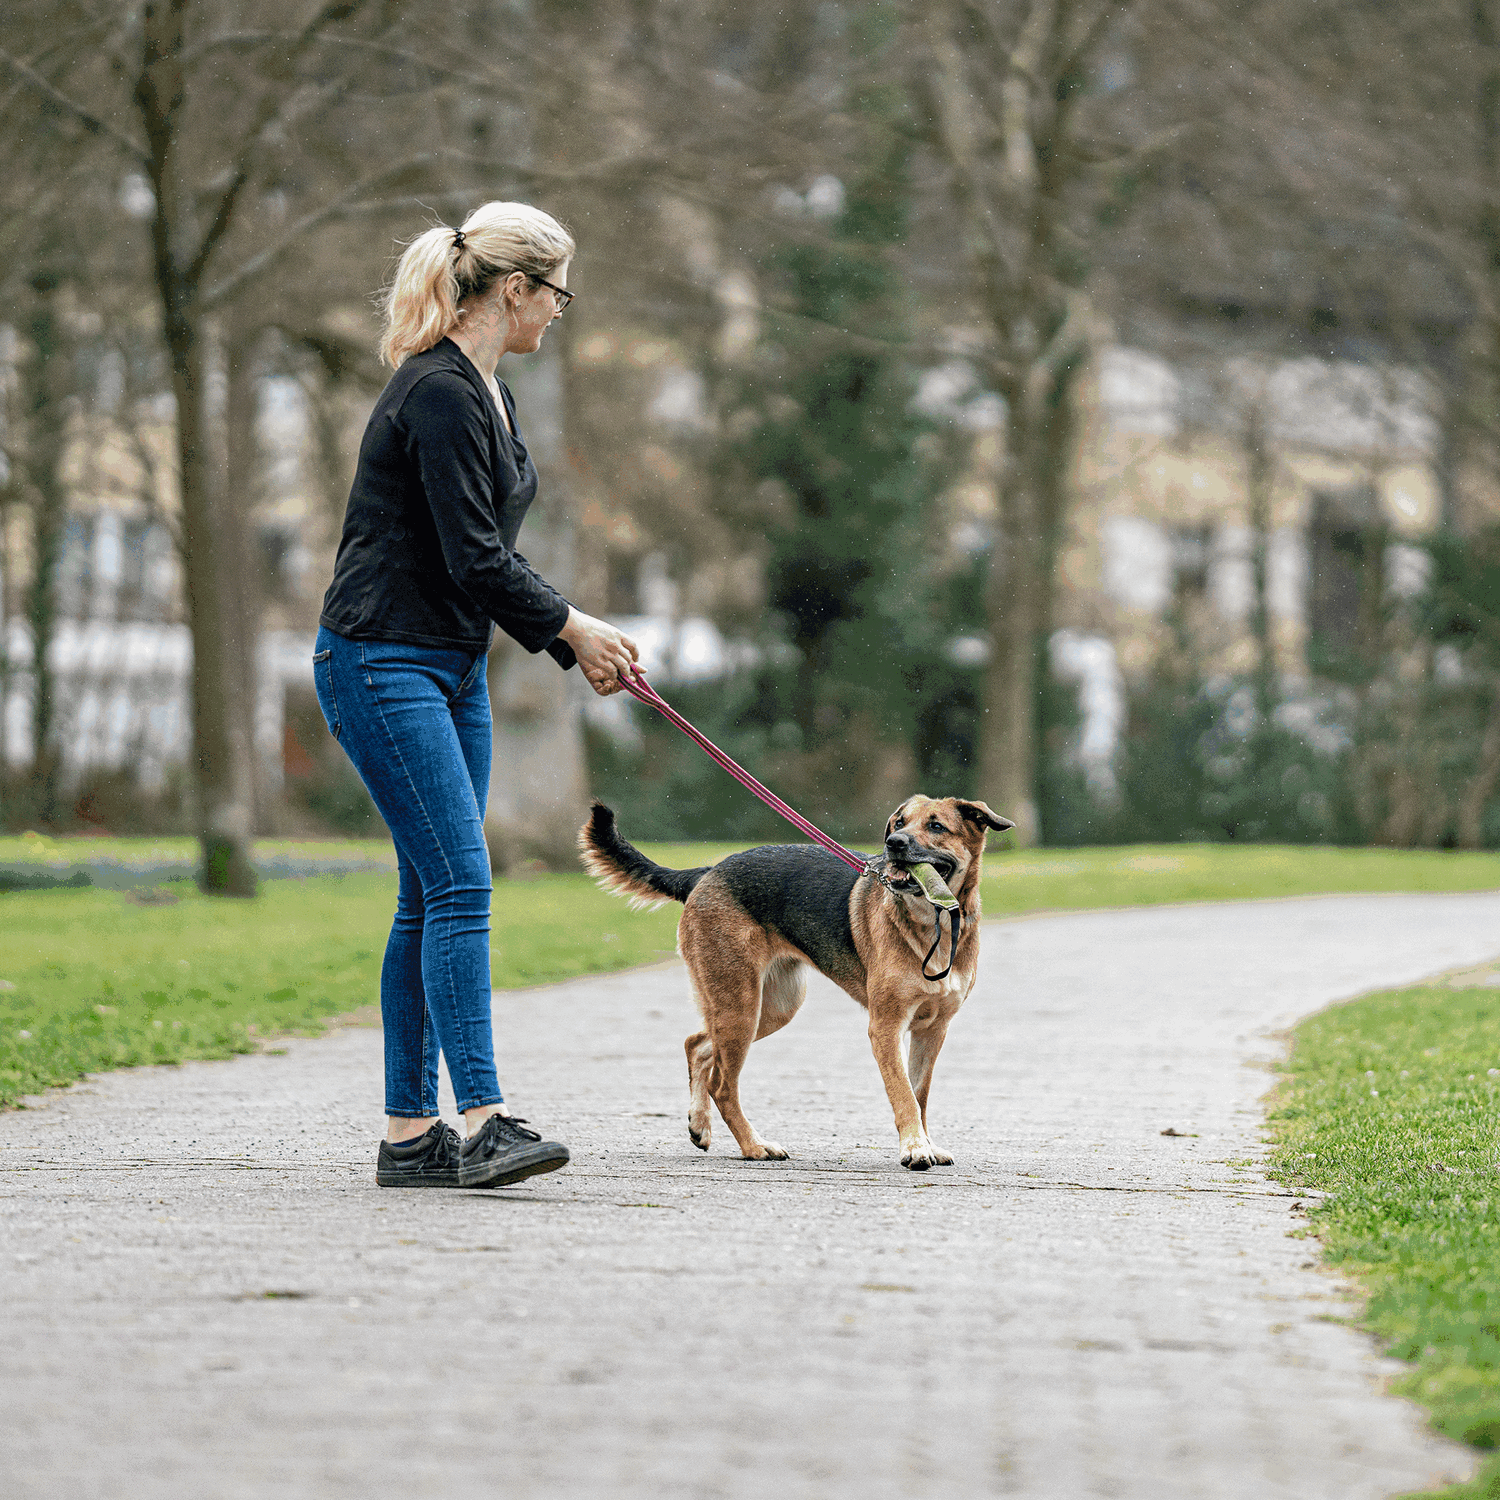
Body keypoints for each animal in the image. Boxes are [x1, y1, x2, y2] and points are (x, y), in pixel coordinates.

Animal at [579, 798, 1014, 1170]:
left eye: (936, 826)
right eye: (900, 823)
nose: (893, 844)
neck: (935, 922)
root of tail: (707, 872)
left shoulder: (932, 1029)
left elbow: (920, 1096)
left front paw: (925, 1143)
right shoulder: (885, 1027)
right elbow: (904, 1095)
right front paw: (914, 1148)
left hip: (771, 1007)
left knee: (697, 1045)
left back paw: (699, 1126)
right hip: (741, 1006)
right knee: (722, 1082)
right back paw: (754, 1146)